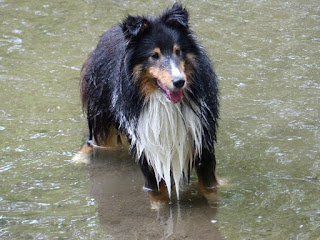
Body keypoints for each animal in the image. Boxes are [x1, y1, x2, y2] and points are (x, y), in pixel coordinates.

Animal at [74, 3, 220, 201]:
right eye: (154, 55)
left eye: (178, 51)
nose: (179, 82)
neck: (164, 103)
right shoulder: (146, 142)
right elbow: (156, 192)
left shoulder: (201, 137)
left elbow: (210, 186)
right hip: (101, 113)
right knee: (93, 139)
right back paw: (79, 157)